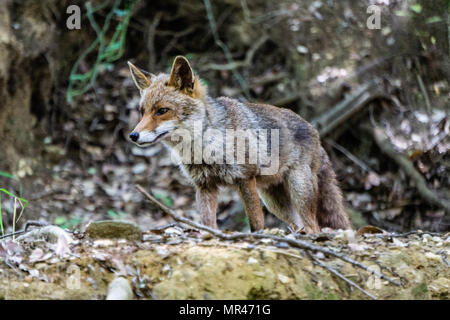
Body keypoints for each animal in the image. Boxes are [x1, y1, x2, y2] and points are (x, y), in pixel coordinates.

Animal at [126, 56, 352, 234]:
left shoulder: (245, 179)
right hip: (275, 202)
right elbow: (207, 223)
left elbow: (256, 223)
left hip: (299, 190)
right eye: (142, 112)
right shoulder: (205, 185)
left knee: (314, 226)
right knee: (300, 226)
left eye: (162, 111)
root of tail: (314, 129)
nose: (133, 135)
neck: (206, 147)